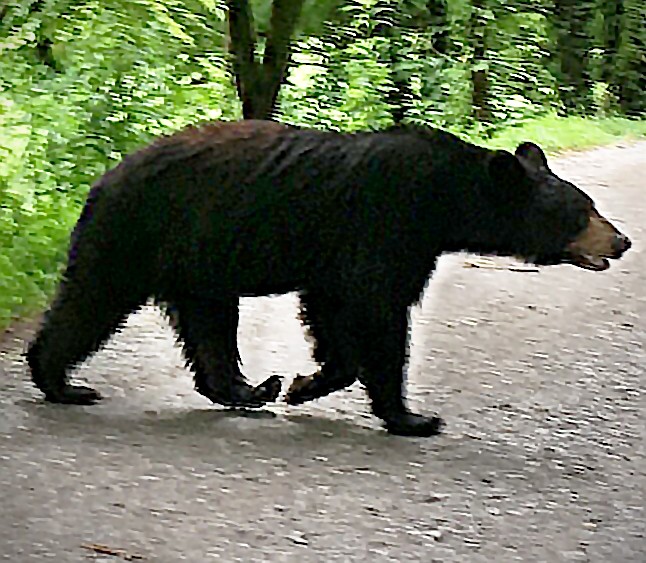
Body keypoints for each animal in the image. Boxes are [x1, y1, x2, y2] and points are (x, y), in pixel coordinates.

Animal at [26, 119, 631, 437]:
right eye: (582, 212)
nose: (622, 241)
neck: (445, 200)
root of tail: (104, 178)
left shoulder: (342, 257)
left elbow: (330, 312)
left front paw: (302, 383)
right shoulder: (386, 223)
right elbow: (377, 313)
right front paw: (412, 417)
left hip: (199, 261)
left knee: (210, 326)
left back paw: (251, 388)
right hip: (136, 235)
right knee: (92, 300)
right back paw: (63, 383)